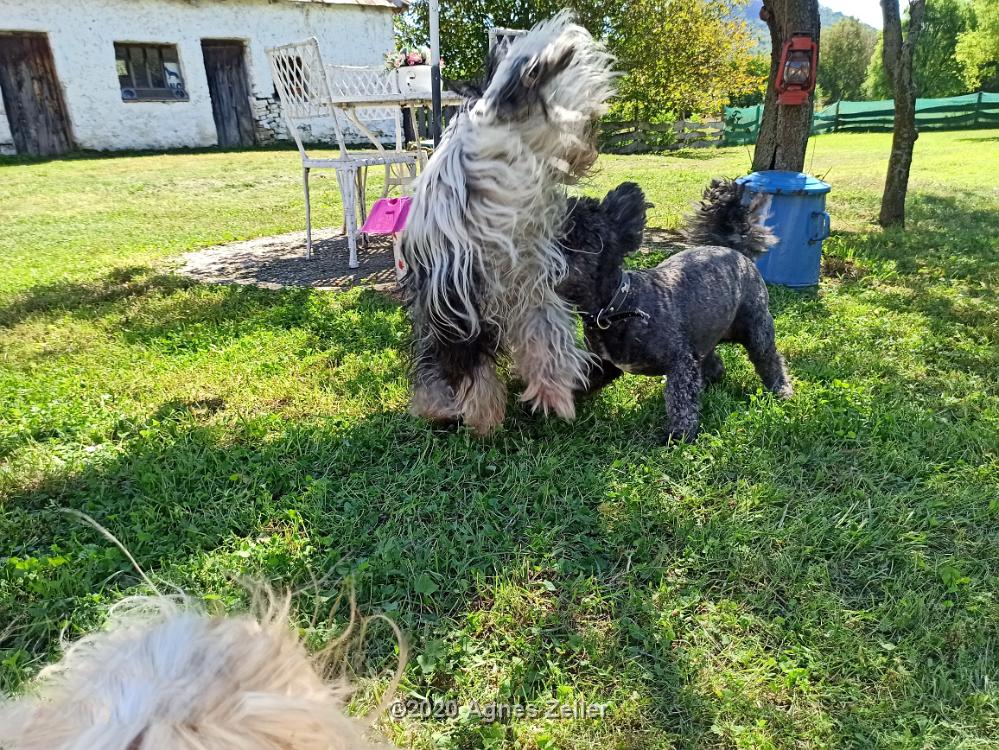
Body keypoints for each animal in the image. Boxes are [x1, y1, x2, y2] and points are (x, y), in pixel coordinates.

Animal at [400, 10, 616, 434]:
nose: (591, 147)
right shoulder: (457, 301)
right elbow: (470, 365)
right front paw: (482, 417)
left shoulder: (533, 280)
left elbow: (546, 337)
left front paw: (553, 395)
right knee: (438, 358)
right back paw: (440, 405)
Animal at [560, 180, 792, 444]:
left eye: (575, 235)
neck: (620, 304)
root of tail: (734, 250)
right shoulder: (602, 364)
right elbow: (578, 380)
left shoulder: (680, 361)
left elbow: (679, 399)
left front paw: (679, 435)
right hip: (704, 333)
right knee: (713, 361)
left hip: (756, 328)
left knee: (769, 359)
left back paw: (781, 389)